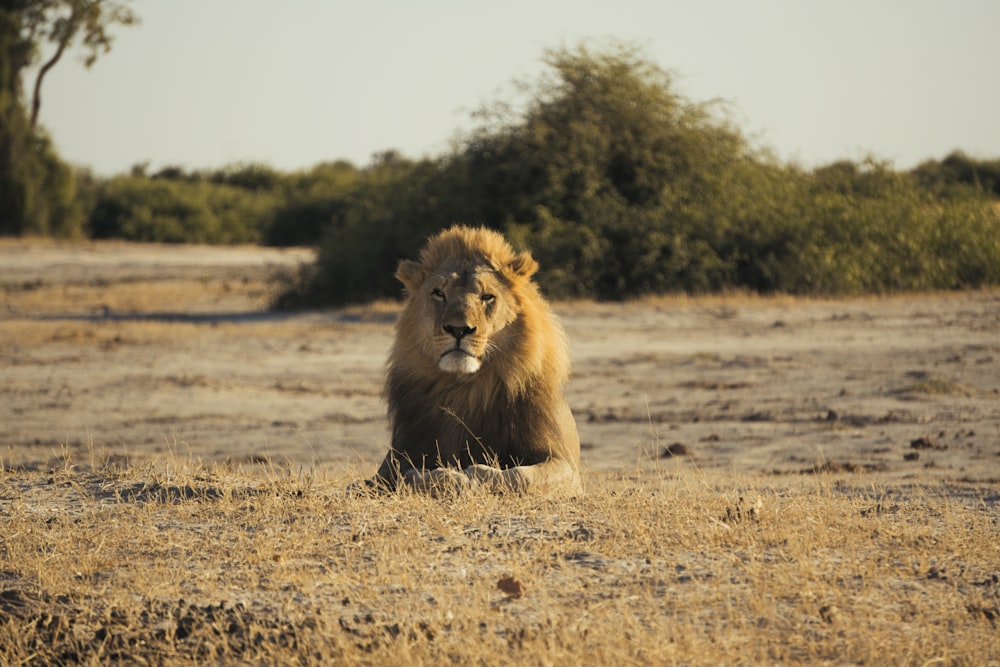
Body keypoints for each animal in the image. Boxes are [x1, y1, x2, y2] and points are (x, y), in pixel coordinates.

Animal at [360, 227, 584, 494]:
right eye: (439, 293)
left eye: (487, 297)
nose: (459, 329)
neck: (465, 388)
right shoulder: (397, 456)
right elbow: (394, 477)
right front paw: (446, 477)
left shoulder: (565, 465)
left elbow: (519, 476)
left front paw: (469, 477)